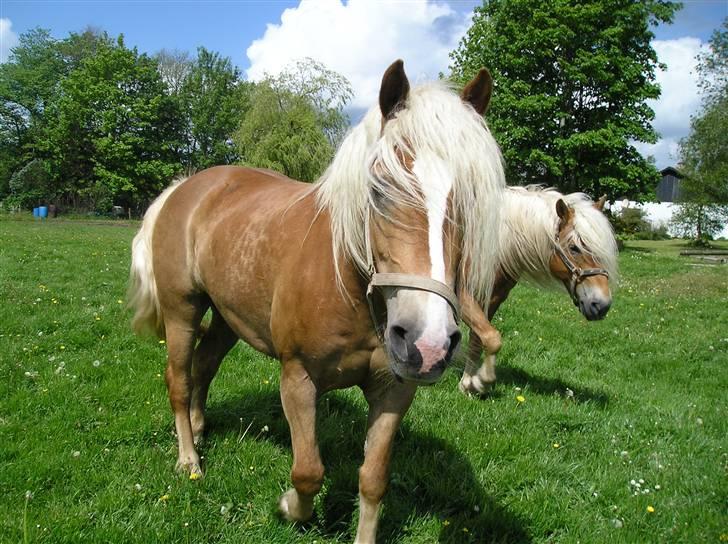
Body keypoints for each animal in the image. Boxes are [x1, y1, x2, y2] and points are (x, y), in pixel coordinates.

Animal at [128, 60, 504, 544]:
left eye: (472, 198)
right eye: (380, 188)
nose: (429, 342)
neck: (351, 290)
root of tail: (184, 187)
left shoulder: (394, 390)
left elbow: (373, 480)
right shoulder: (297, 378)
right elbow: (308, 471)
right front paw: (289, 506)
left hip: (229, 317)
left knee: (203, 367)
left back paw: (197, 430)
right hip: (183, 309)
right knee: (178, 378)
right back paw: (189, 460)